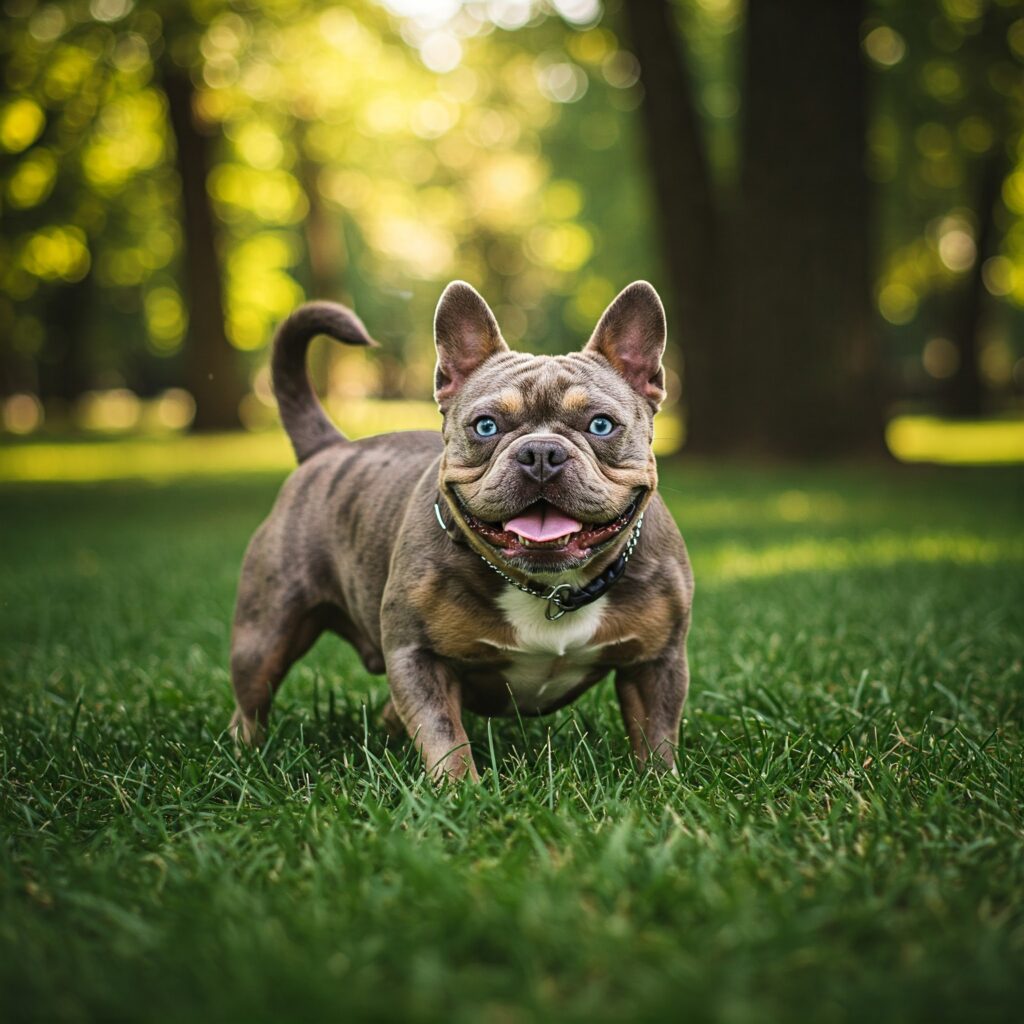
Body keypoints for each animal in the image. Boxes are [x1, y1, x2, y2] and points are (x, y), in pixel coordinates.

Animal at [230, 280, 696, 774]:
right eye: (486, 426)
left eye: (601, 425)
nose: (541, 453)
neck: (551, 588)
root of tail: (327, 448)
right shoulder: (418, 657)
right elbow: (443, 736)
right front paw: (459, 787)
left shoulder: (656, 663)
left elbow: (657, 734)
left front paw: (663, 782)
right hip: (265, 633)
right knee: (252, 698)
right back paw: (243, 753)